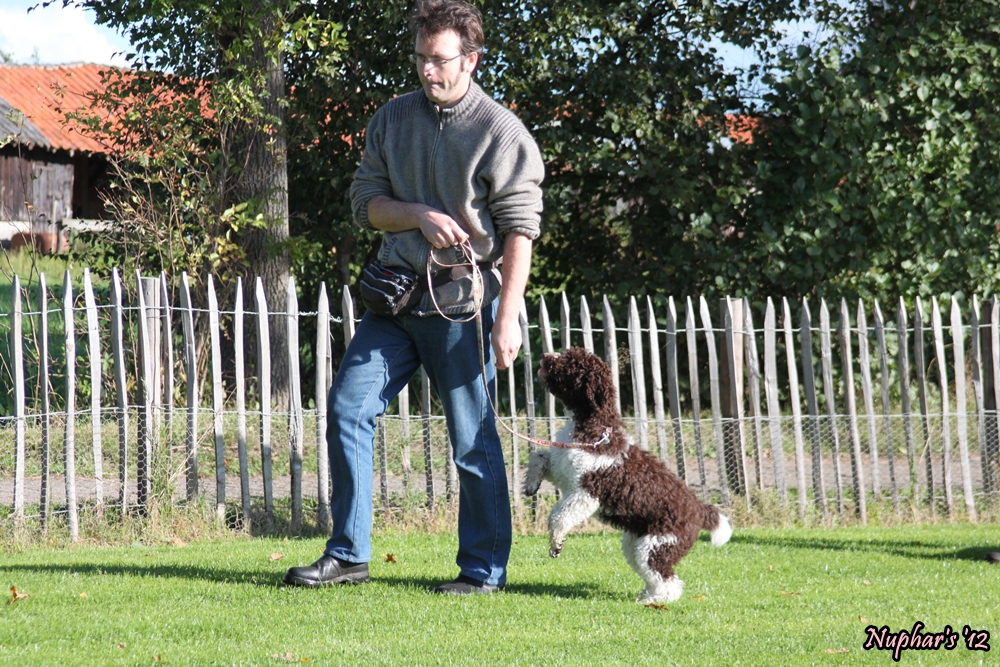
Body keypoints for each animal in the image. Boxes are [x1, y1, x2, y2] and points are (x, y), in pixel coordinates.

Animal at [523, 347, 732, 604]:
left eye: (571, 363)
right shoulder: (563, 468)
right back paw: (647, 595)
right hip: (637, 543)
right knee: (653, 574)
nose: (546, 356)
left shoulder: (585, 493)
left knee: (668, 580)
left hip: (657, 545)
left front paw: (557, 543)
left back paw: (654, 601)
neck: (595, 427)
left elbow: (558, 517)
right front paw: (531, 484)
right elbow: (539, 456)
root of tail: (699, 509)